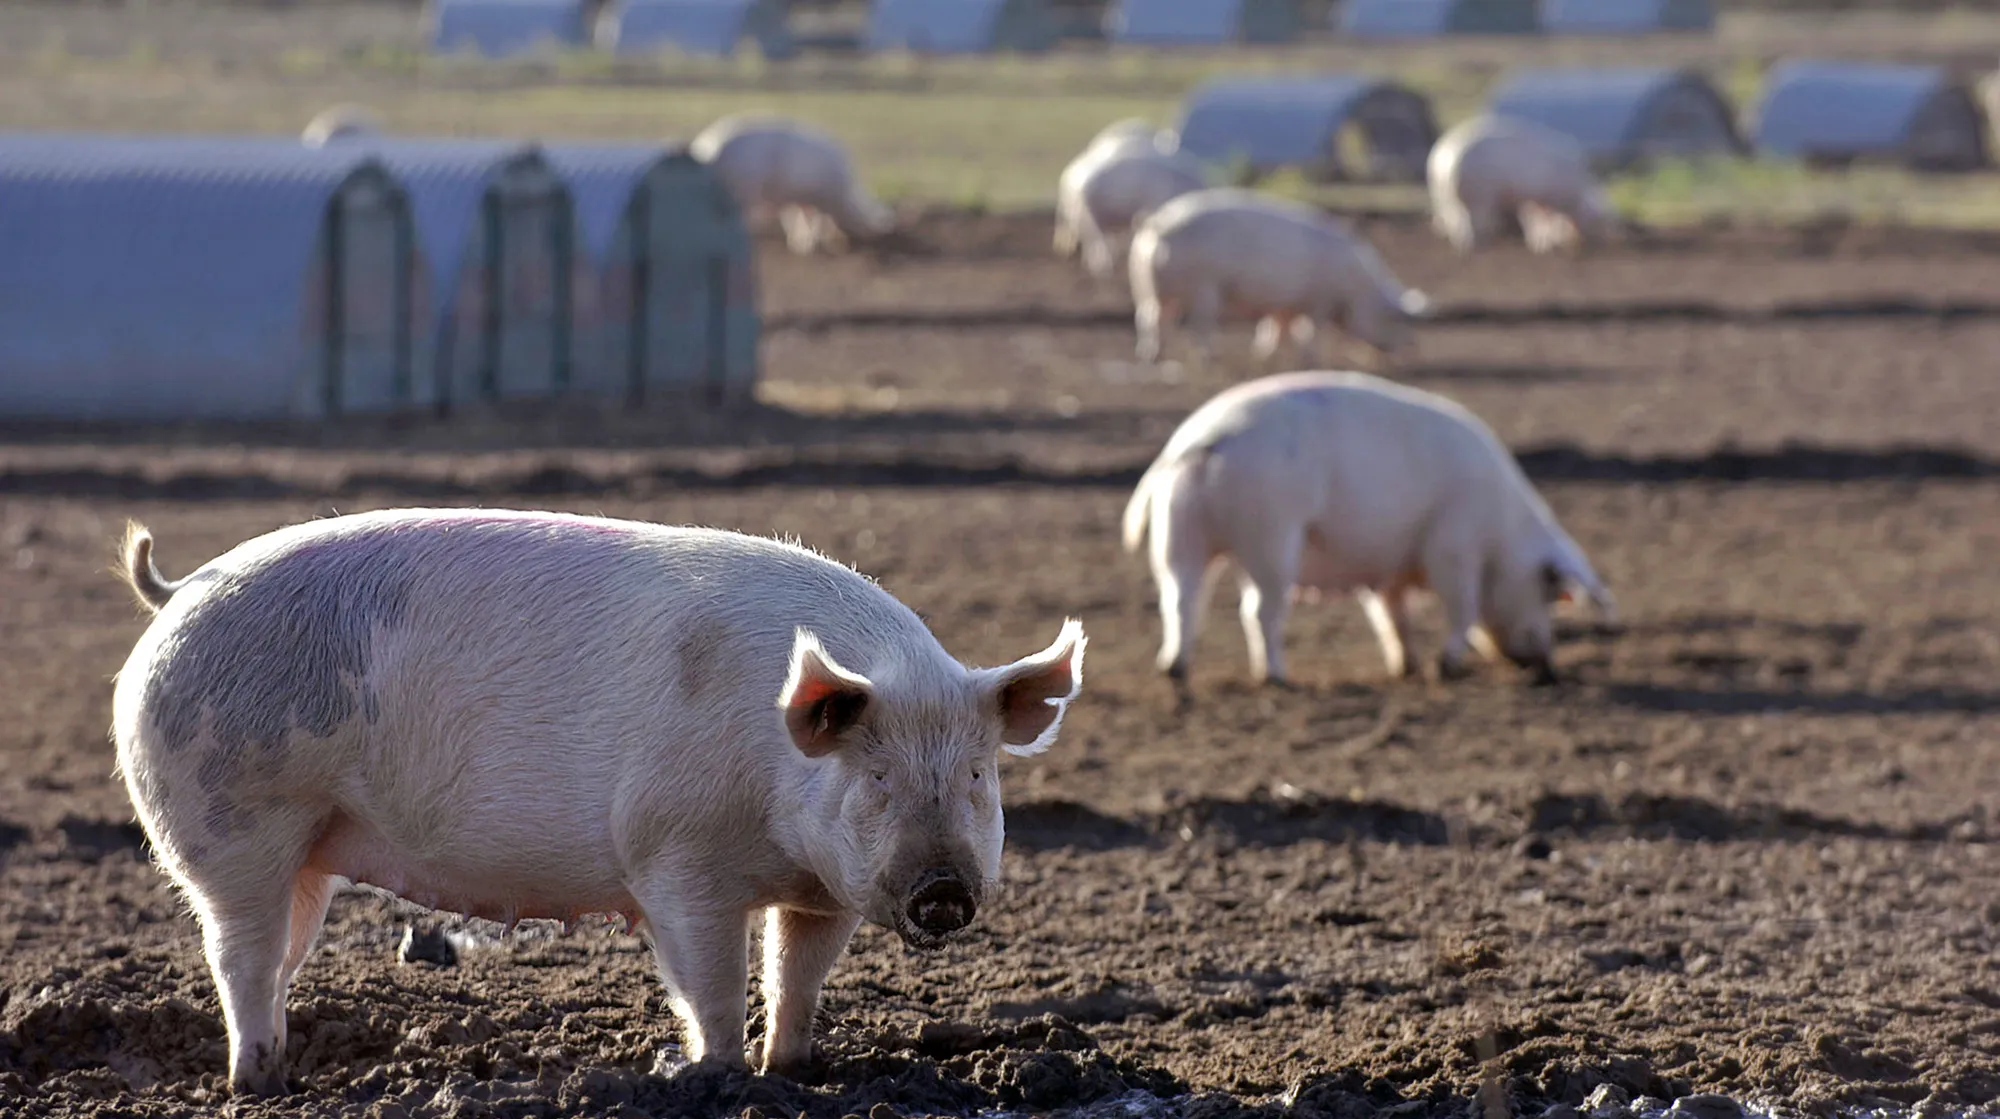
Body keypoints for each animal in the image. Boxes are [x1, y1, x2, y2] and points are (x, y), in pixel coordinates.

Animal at [110, 508, 1086, 1096]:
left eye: (977, 775)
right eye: (877, 778)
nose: (944, 890)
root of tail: (184, 587)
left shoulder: (826, 891)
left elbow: (797, 976)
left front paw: (792, 1072)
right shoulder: (673, 856)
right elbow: (710, 982)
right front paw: (715, 1077)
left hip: (308, 846)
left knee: (280, 954)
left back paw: (280, 1072)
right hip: (230, 819)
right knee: (236, 952)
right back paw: (255, 1083)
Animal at [690, 114, 896, 255]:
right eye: (873, 218)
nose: (877, 239)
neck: (845, 194)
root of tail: (706, 150)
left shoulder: (793, 197)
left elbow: (797, 217)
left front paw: (798, 244)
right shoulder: (819, 198)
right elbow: (818, 220)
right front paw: (818, 245)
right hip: (743, 186)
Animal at [1120, 371, 1614, 688]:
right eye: (1548, 590)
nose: (1547, 671)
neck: (1503, 536)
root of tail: (1199, 443)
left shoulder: (1389, 571)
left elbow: (1391, 616)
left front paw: (1406, 669)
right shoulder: (1452, 548)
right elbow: (1463, 609)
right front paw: (1444, 669)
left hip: (1176, 533)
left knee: (1180, 600)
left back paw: (1174, 669)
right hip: (1270, 535)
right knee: (1258, 610)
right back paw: (1275, 676)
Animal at [1128, 189, 1430, 369]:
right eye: (1393, 317)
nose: (1412, 348)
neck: (1357, 289)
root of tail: (1155, 223)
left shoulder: (1284, 304)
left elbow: (1276, 326)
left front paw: (1265, 354)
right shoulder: (1319, 301)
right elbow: (1312, 330)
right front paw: (1313, 361)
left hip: (1147, 286)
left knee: (1148, 318)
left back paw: (1153, 356)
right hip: (1205, 287)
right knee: (1198, 325)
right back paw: (1210, 357)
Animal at [1427, 114, 1618, 255]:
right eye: (1602, 219)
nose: (1617, 240)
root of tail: (1442, 160)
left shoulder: (1531, 200)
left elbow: (1534, 220)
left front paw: (1539, 247)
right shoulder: (1551, 199)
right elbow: (1546, 222)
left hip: (1446, 200)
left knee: (1454, 224)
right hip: (1479, 196)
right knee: (1472, 228)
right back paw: (1480, 248)